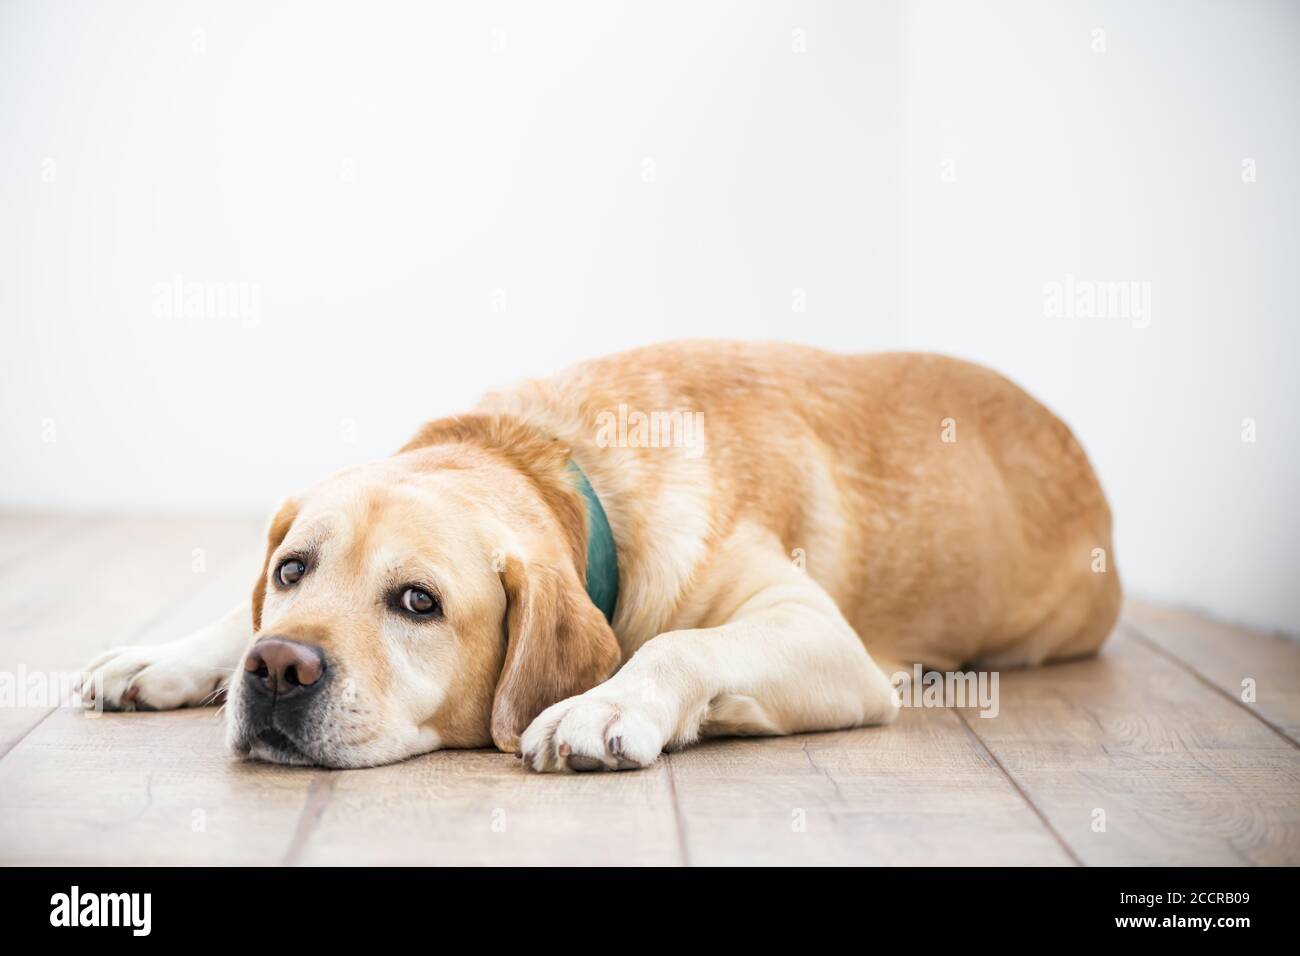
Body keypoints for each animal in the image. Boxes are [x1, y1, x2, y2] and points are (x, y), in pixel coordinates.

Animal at [78, 340, 1118, 775]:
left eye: (417, 603)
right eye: (294, 569)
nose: (277, 670)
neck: (554, 460)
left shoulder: (825, 639)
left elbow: (681, 644)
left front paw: (609, 704)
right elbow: (233, 611)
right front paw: (168, 653)